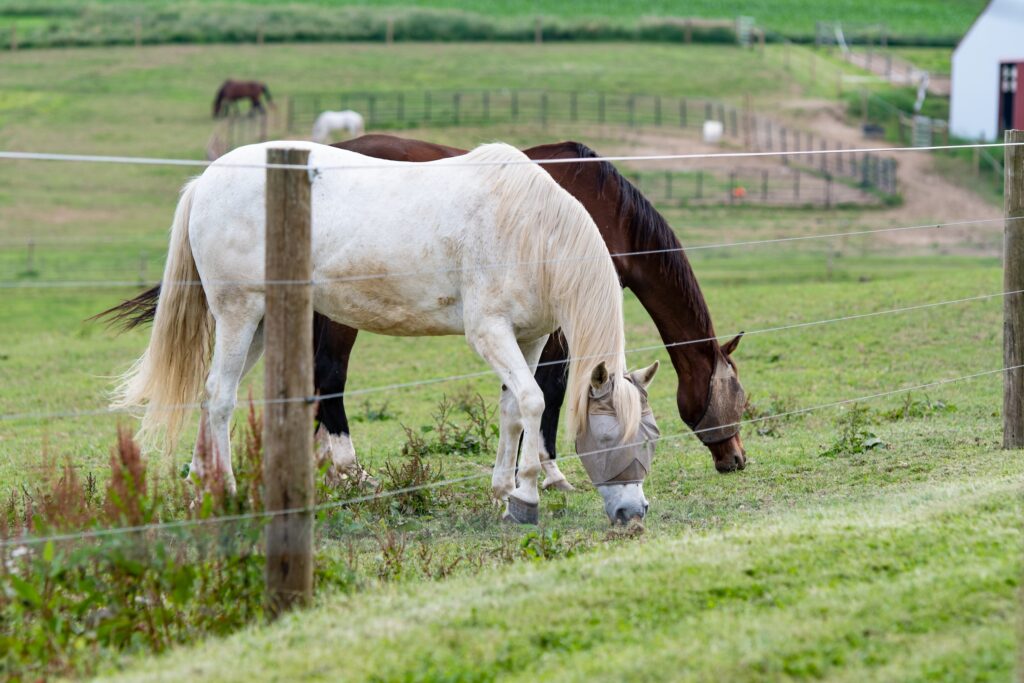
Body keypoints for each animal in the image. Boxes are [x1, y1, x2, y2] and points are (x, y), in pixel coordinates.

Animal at [99, 135, 749, 492]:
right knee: (232, 394)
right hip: (247, 315)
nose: (737, 459)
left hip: (264, 321)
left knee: (225, 394)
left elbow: (516, 405)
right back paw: (256, 485)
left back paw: (206, 481)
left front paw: (505, 486)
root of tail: (205, 181)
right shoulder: (499, 334)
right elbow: (542, 398)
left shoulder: (531, 334)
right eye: (733, 399)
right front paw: (542, 480)